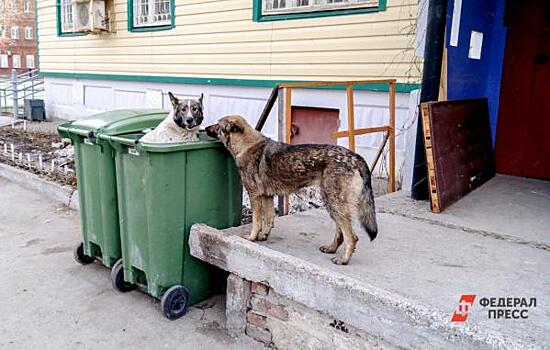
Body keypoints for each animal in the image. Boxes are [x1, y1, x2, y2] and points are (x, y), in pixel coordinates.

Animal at [207, 115, 380, 266]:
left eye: (218, 125)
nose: (205, 128)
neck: (246, 145)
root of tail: (356, 157)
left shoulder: (254, 196)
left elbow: (256, 221)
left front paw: (252, 237)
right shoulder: (267, 196)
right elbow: (268, 220)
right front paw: (264, 236)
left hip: (334, 203)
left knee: (352, 237)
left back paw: (343, 259)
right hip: (335, 205)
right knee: (341, 233)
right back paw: (331, 249)